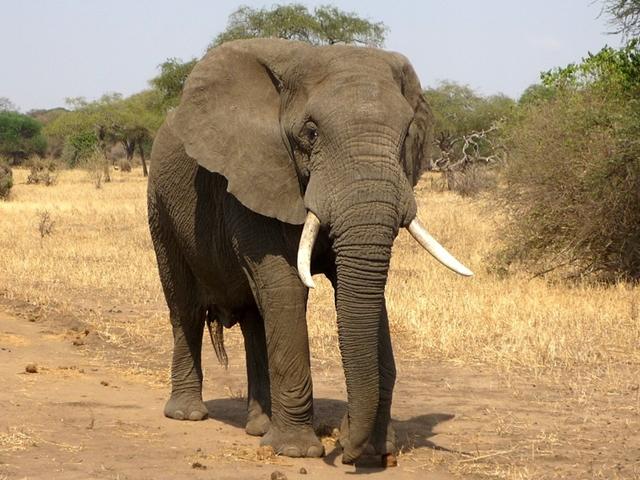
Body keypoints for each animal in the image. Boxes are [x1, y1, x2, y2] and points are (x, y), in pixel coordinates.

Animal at [148, 38, 472, 464]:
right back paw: (188, 415)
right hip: (160, 205)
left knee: (254, 317)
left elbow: (362, 293)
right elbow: (286, 286)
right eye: (312, 132)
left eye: (406, 135)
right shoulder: (254, 175)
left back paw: (259, 427)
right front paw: (296, 452)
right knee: (183, 305)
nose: (347, 449)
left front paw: (375, 449)